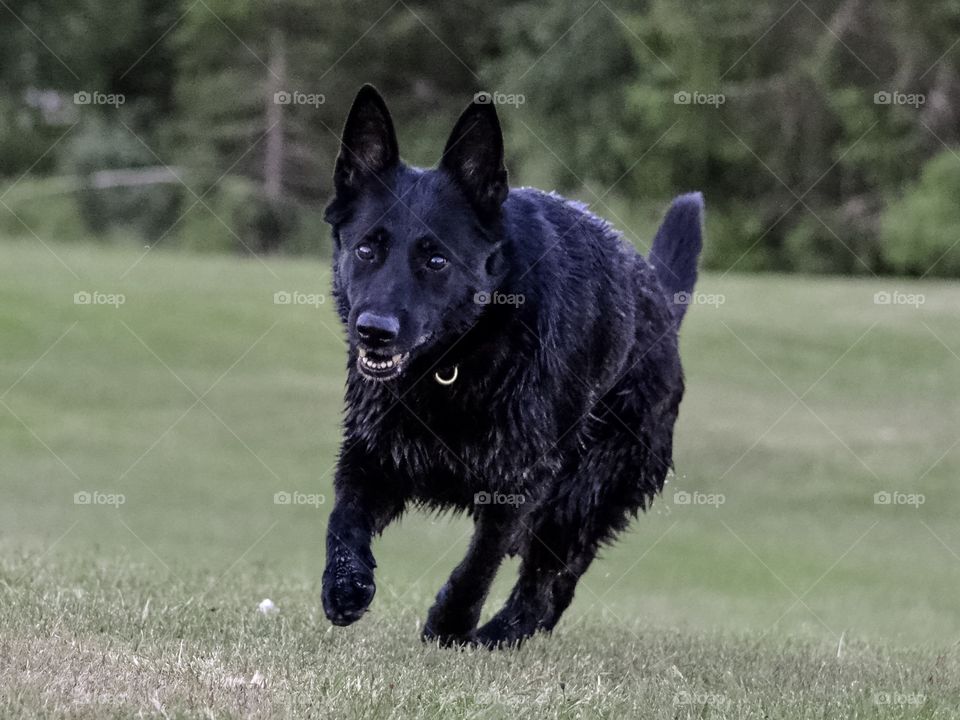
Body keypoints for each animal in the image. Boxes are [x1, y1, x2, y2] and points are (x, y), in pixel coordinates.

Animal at [322, 84, 704, 648]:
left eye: (436, 260)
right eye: (367, 249)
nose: (374, 331)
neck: (456, 362)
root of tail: (659, 297)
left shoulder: (516, 483)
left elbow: (479, 563)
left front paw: (450, 624)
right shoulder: (372, 456)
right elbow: (343, 519)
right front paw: (346, 584)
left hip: (576, 502)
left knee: (547, 585)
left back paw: (497, 635)